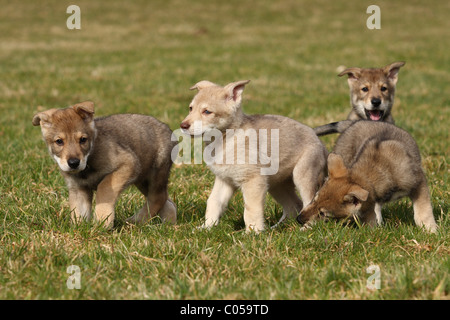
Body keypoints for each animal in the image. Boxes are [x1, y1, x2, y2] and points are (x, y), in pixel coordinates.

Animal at [31, 101, 176, 229]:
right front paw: (80, 229)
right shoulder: (78, 188)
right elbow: (78, 212)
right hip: (142, 179)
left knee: (158, 197)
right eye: (59, 141)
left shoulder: (127, 164)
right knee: (168, 202)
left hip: (155, 174)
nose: (73, 163)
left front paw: (102, 222)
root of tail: (169, 131)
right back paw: (167, 224)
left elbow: (104, 188)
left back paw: (136, 221)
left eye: (83, 139)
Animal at [179, 80, 326, 232]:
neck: (224, 142)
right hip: (276, 185)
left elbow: (251, 209)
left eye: (207, 111)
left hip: (302, 176)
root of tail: (318, 139)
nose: (182, 125)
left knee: (309, 204)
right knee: (294, 206)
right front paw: (206, 227)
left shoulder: (253, 180)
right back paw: (276, 228)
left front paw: (253, 232)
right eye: (190, 108)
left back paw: (306, 228)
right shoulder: (224, 180)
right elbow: (213, 202)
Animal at [298, 120, 438, 232]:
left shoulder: (418, 182)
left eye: (323, 213)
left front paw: (430, 230)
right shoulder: (369, 203)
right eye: (314, 199)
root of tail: (354, 123)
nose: (298, 219)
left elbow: (423, 210)